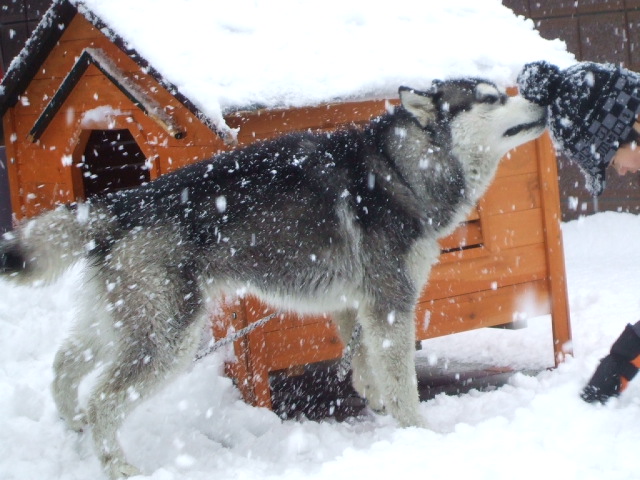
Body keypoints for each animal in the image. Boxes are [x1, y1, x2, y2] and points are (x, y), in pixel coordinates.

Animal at [2, 79, 548, 476]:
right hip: (169, 337)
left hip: (122, 319)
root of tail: (123, 202)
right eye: (491, 98)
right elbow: (402, 382)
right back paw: (117, 465)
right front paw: (420, 434)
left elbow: (364, 361)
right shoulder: (391, 302)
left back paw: (73, 425)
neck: (400, 167)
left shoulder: (355, 304)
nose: (543, 97)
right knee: (103, 399)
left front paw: (373, 399)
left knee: (65, 363)